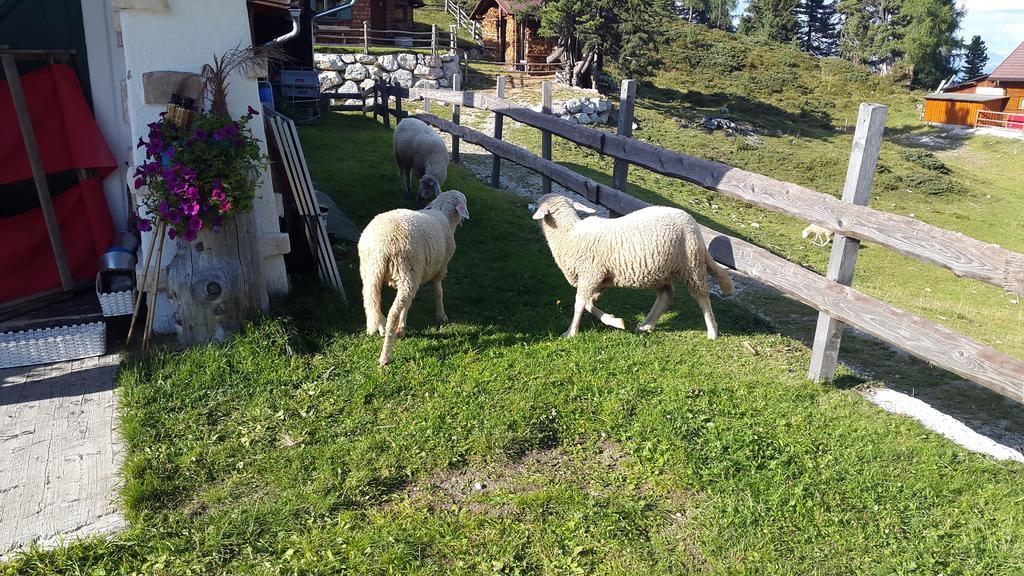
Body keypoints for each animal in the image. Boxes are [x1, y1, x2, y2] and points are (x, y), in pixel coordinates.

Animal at [356, 191, 468, 362]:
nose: (463, 222)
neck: (444, 215)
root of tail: (380, 247)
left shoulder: (418, 275)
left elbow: (407, 305)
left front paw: (402, 328)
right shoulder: (440, 268)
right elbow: (439, 292)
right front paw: (441, 315)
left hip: (371, 273)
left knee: (372, 302)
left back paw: (381, 328)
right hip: (406, 274)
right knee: (392, 314)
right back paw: (385, 356)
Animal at [528, 193, 737, 336]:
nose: (531, 207)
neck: (569, 234)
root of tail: (692, 223)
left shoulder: (591, 274)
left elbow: (579, 303)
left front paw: (570, 332)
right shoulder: (597, 279)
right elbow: (588, 303)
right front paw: (614, 321)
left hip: (690, 264)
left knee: (702, 296)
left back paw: (712, 330)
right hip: (659, 271)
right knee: (666, 295)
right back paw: (646, 325)